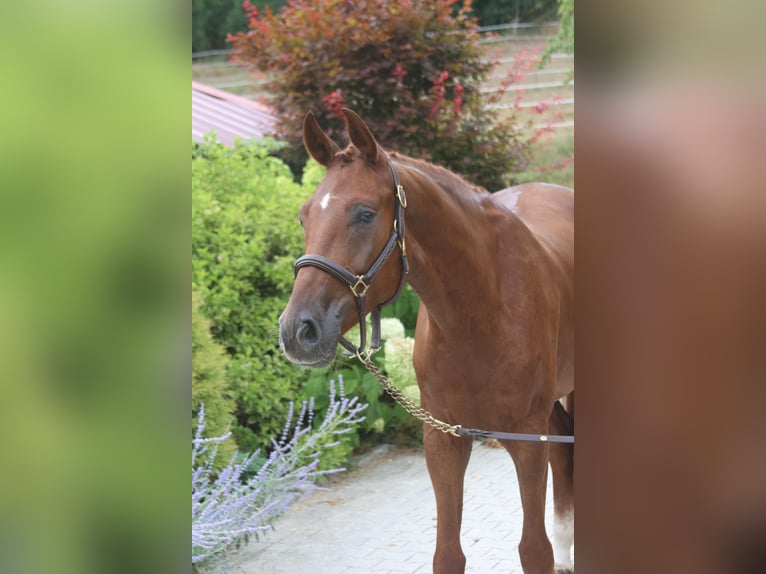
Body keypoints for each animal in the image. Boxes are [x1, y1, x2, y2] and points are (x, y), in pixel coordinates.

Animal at [279, 108, 574, 574]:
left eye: (365, 214)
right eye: (304, 216)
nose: (298, 330)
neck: (478, 314)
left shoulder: (527, 441)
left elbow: (533, 550)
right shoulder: (443, 438)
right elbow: (448, 554)